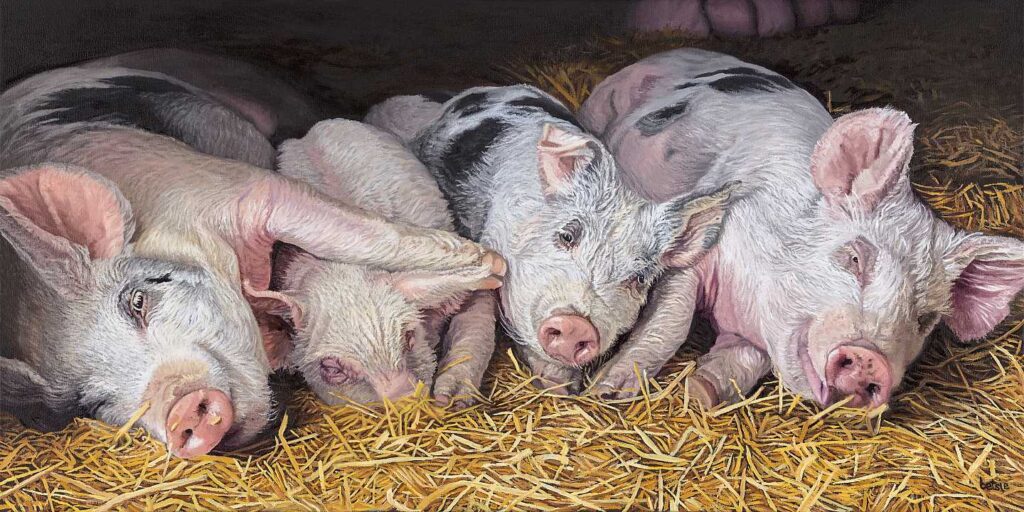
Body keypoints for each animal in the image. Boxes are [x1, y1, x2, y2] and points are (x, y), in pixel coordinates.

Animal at [367, 85, 735, 405]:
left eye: (638, 278)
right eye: (567, 235)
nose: (575, 325)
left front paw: (563, 388)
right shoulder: (487, 242)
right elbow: (477, 313)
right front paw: (452, 401)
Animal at [580, 48, 1024, 409]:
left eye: (926, 318)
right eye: (855, 258)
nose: (872, 360)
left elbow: (748, 357)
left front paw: (701, 393)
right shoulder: (708, 239)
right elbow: (671, 320)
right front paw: (607, 392)